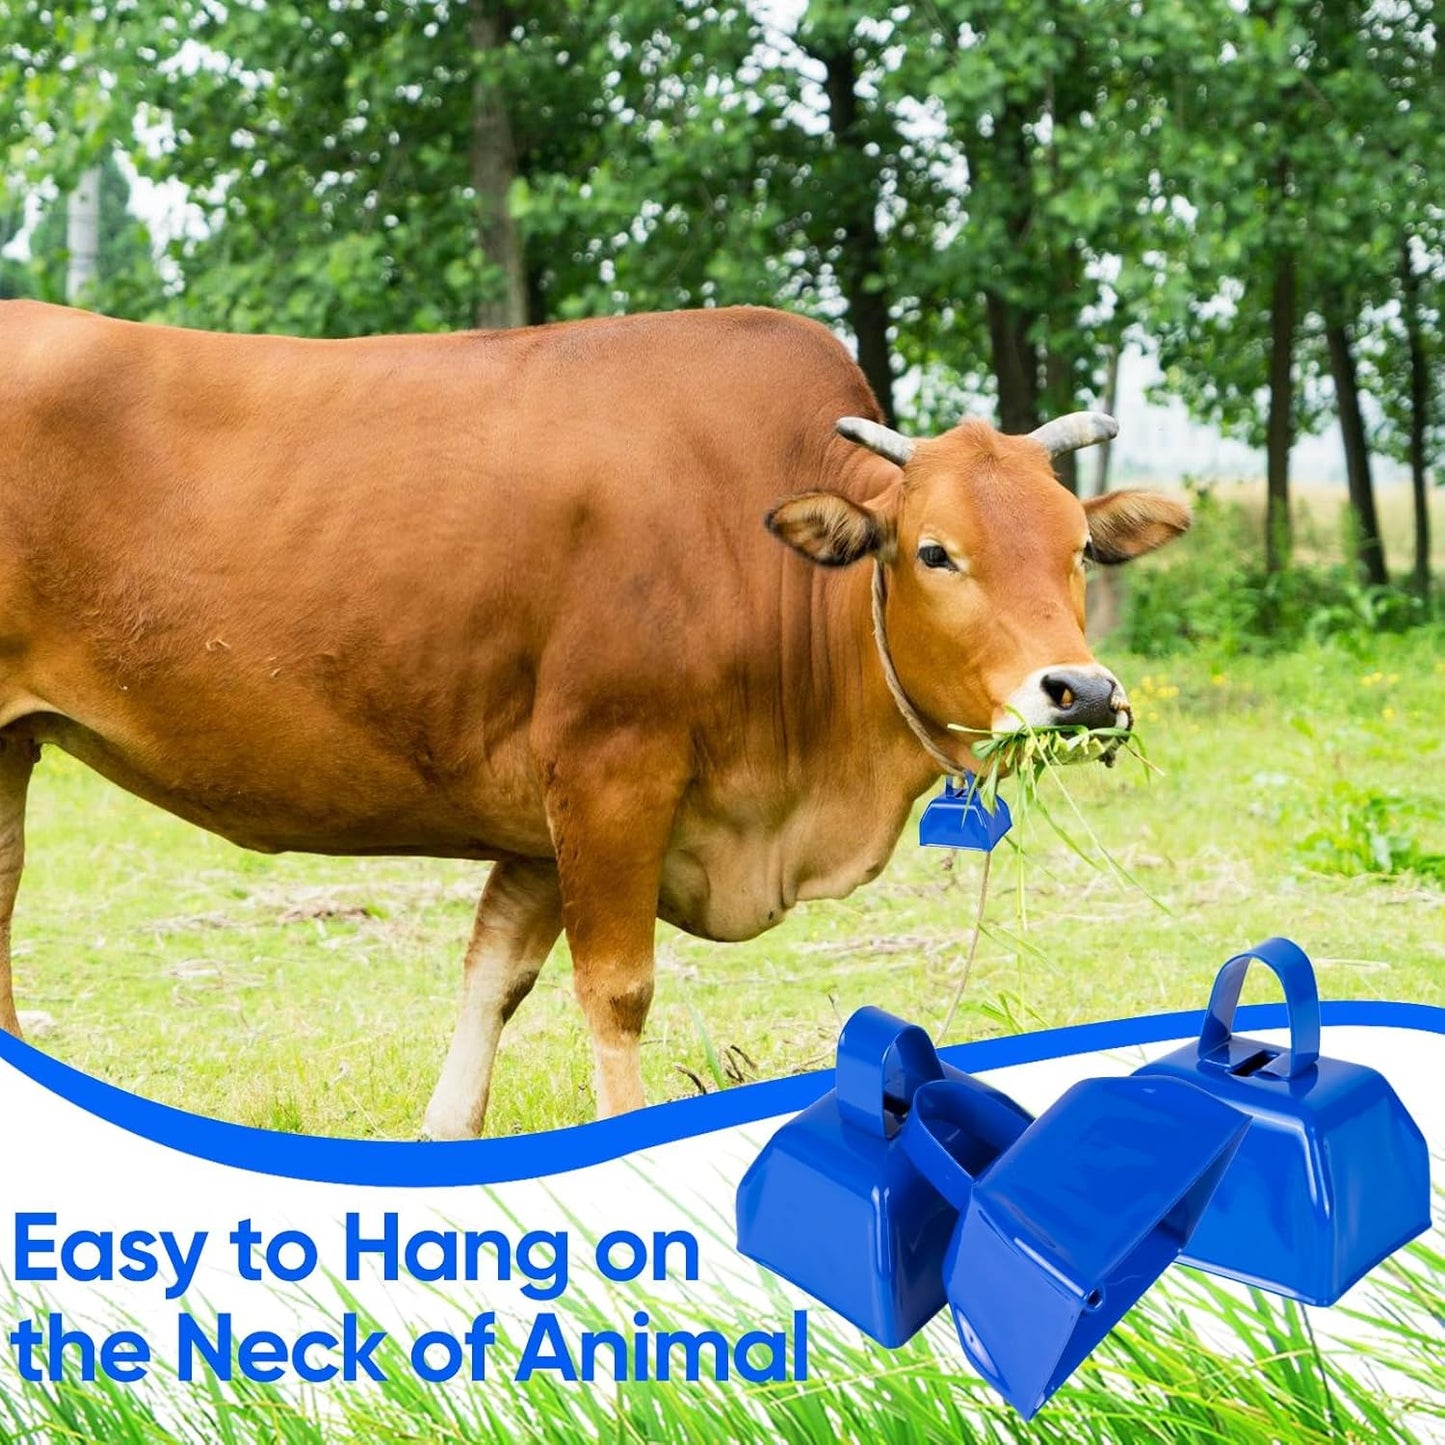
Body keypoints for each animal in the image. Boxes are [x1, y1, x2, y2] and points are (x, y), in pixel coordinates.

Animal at [0, 299, 1189, 1137]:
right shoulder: (610, 771)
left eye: (1077, 548)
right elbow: (614, 991)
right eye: (935, 550)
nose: (1080, 691)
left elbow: (495, 974)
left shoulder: (541, 818)